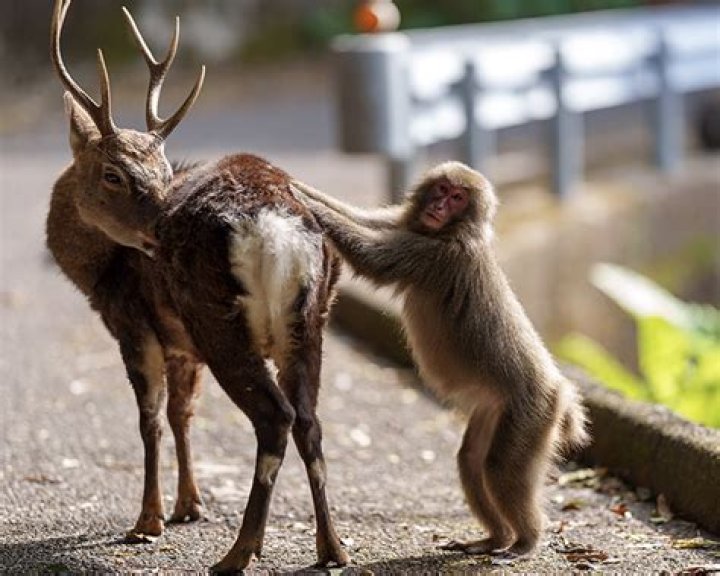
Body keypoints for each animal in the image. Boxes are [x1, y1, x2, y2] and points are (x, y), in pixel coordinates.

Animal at [290, 161, 589, 555]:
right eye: (443, 189)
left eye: (458, 197)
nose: (439, 206)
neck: (449, 230)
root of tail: (559, 390)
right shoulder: (409, 226)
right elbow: (365, 219)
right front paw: (295, 184)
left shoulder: (438, 255)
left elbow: (371, 256)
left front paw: (299, 196)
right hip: (495, 409)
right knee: (472, 462)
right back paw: (494, 537)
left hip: (533, 413)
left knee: (499, 468)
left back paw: (525, 541)